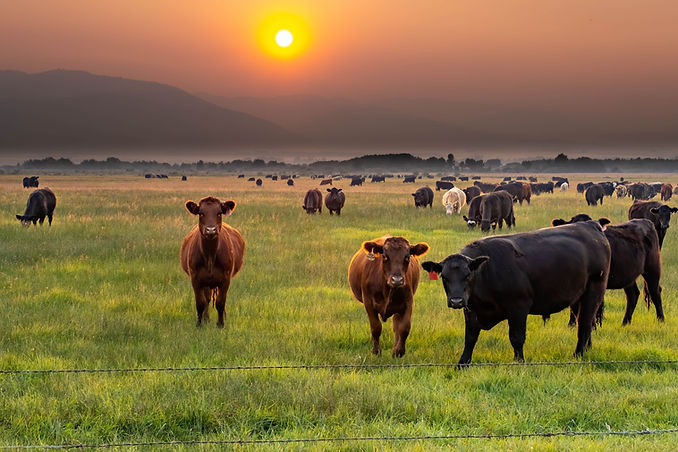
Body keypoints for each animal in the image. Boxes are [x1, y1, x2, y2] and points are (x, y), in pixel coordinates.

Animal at [180, 197, 245, 328]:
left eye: (219, 213)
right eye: (201, 213)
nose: (210, 230)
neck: (210, 256)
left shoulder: (225, 279)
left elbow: (220, 302)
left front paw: (220, 324)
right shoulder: (195, 279)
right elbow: (200, 303)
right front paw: (199, 324)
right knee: (207, 299)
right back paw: (206, 318)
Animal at [421, 220, 610, 364]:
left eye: (467, 275)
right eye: (444, 277)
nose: (456, 301)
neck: (487, 271)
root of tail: (590, 224)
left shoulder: (518, 307)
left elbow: (516, 337)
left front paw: (519, 362)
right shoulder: (471, 311)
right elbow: (470, 338)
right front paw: (462, 364)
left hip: (594, 290)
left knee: (585, 322)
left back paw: (578, 354)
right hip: (578, 297)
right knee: (584, 321)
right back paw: (586, 349)